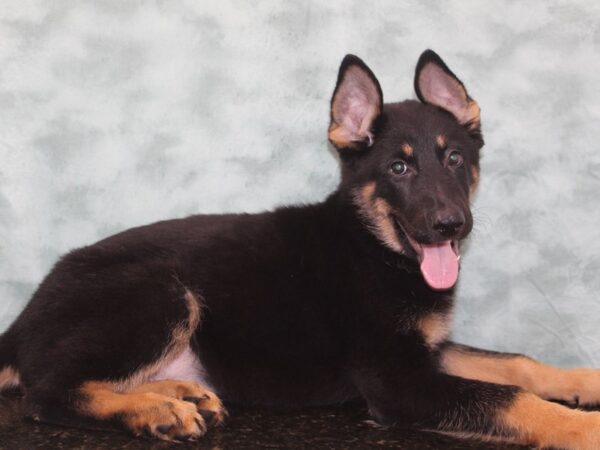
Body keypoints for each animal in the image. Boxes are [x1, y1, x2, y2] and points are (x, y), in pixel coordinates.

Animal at [1, 51, 600, 448]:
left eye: (454, 158)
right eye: (398, 169)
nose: (450, 225)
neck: (375, 248)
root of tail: (25, 318)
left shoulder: (425, 352)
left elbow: (516, 364)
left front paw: (583, 382)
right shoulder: (397, 379)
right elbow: (512, 398)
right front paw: (585, 426)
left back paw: (176, 393)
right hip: (160, 292)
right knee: (44, 393)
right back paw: (154, 412)